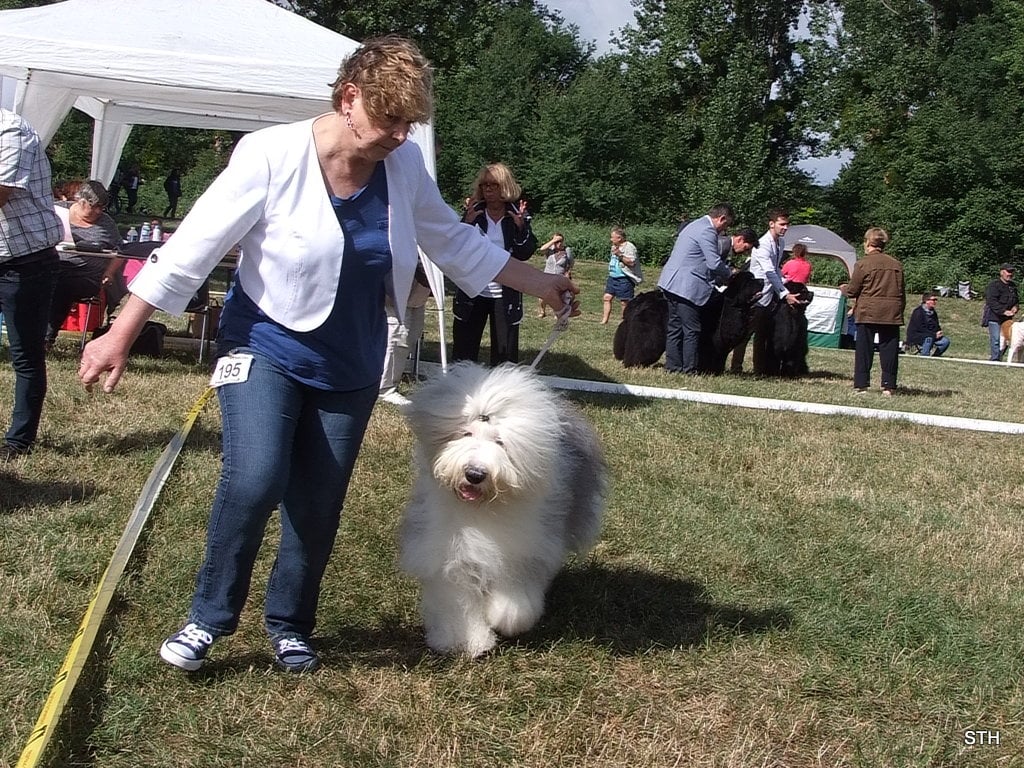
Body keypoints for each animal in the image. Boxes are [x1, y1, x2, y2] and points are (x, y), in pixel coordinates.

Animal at [397, 364, 606, 659]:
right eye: (465, 434)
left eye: (500, 442)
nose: (474, 474)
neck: (482, 509)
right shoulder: (451, 555)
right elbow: (458, 602)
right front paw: (465, 642)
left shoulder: (524, 549)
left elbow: (515, 592)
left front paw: (507, 619)